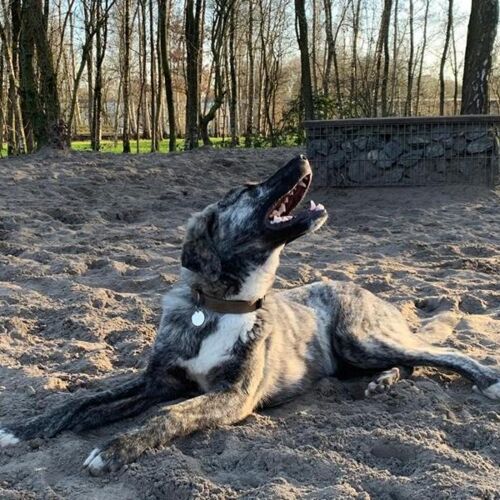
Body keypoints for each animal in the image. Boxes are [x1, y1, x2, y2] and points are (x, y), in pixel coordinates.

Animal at [1, 155, 499, 475]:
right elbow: (80, 402)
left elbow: (169, 416)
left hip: (360, 336)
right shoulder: (157, 382)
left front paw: (116, 448)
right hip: (357, 351)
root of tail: (367, 291)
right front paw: (22, 429)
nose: (300, 155)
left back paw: (482, 380)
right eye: (245, 191)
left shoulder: (231, 396)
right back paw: (381, 382)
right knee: (409, 362)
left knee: (438, 354)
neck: (218, 308)